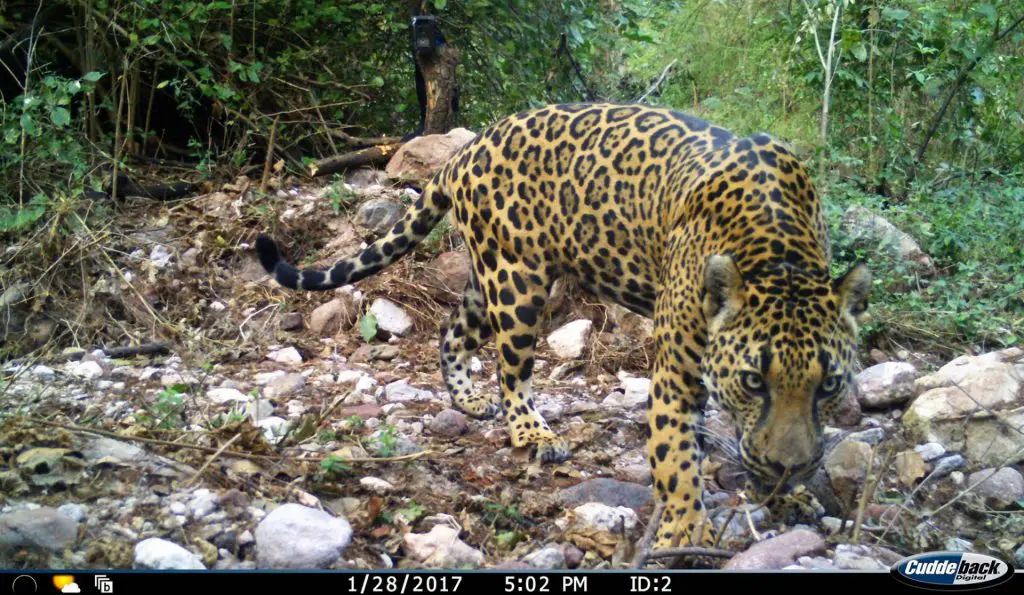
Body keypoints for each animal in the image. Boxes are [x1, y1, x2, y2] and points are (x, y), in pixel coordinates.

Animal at [255, 103, 872, 551]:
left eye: (829, 385)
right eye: (753, 381)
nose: (788, 467)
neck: (780, 253)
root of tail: (465, 151)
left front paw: (787, 494)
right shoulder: (676, 370)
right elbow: (676, 458)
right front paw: (684, 531)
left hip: (489, 278)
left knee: (453, 331)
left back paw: (469, 400)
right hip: (517, 285)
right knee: (512, 370)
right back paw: (533, 433)